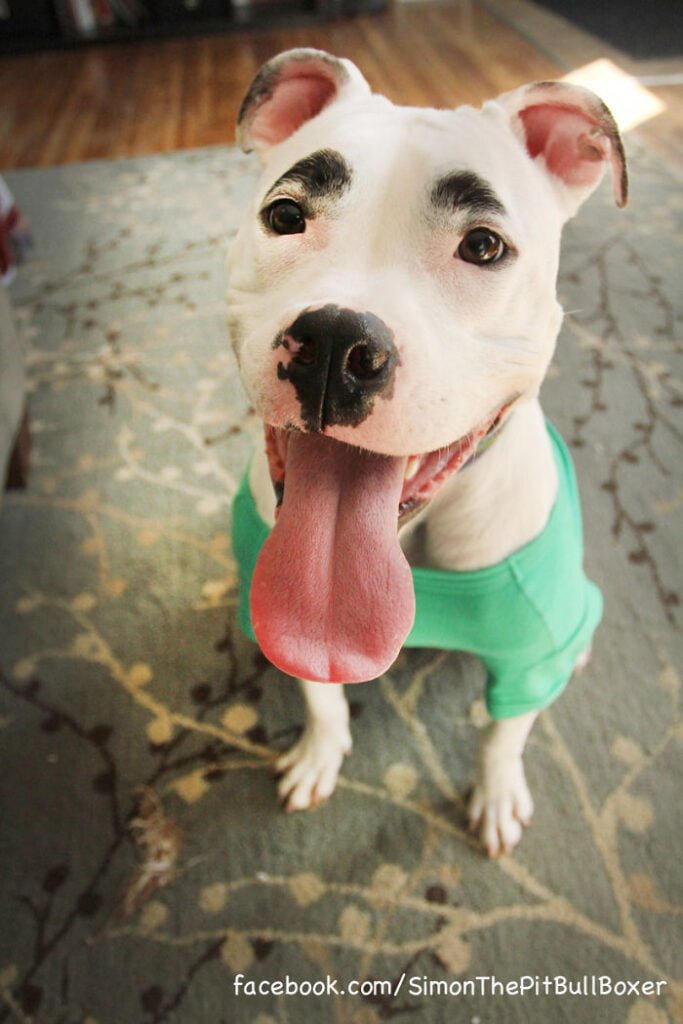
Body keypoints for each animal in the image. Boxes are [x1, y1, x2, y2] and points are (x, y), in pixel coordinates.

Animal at [227, 51, 626, 860]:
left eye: (483, 246)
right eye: (284, 216)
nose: (335, 345)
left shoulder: (525, 650)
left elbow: (504, 733)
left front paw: (497, 795)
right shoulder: (286, 624)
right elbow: (320, 694)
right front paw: (319, 753)